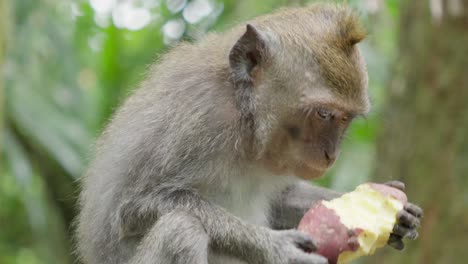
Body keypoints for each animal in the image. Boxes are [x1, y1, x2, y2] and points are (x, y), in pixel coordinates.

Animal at [77, 2, 424, 264]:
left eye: (346, 119)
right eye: (324, 114)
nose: (331, 154)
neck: (246, 126)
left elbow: (283, 197)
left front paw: (394, 214)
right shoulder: (196, 121)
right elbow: (132, 208)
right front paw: (275, 248)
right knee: (181, 229)